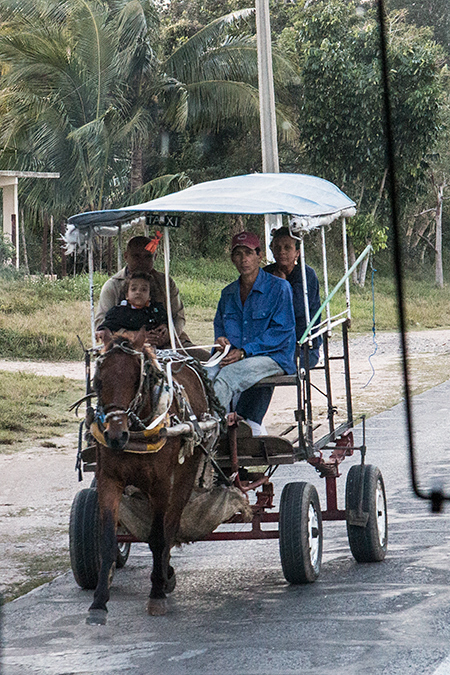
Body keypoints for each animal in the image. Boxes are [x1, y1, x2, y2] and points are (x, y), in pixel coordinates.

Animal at [86, 328, 220, 624]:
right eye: (98, 380)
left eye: (137, 378)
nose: (115, 435)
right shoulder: (109, 480)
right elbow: (107, 539)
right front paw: (98, 603)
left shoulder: (161, 485)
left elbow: (158, 537)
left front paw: (156, 593)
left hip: (183, 478)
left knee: (170, 526)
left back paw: (162, 577)